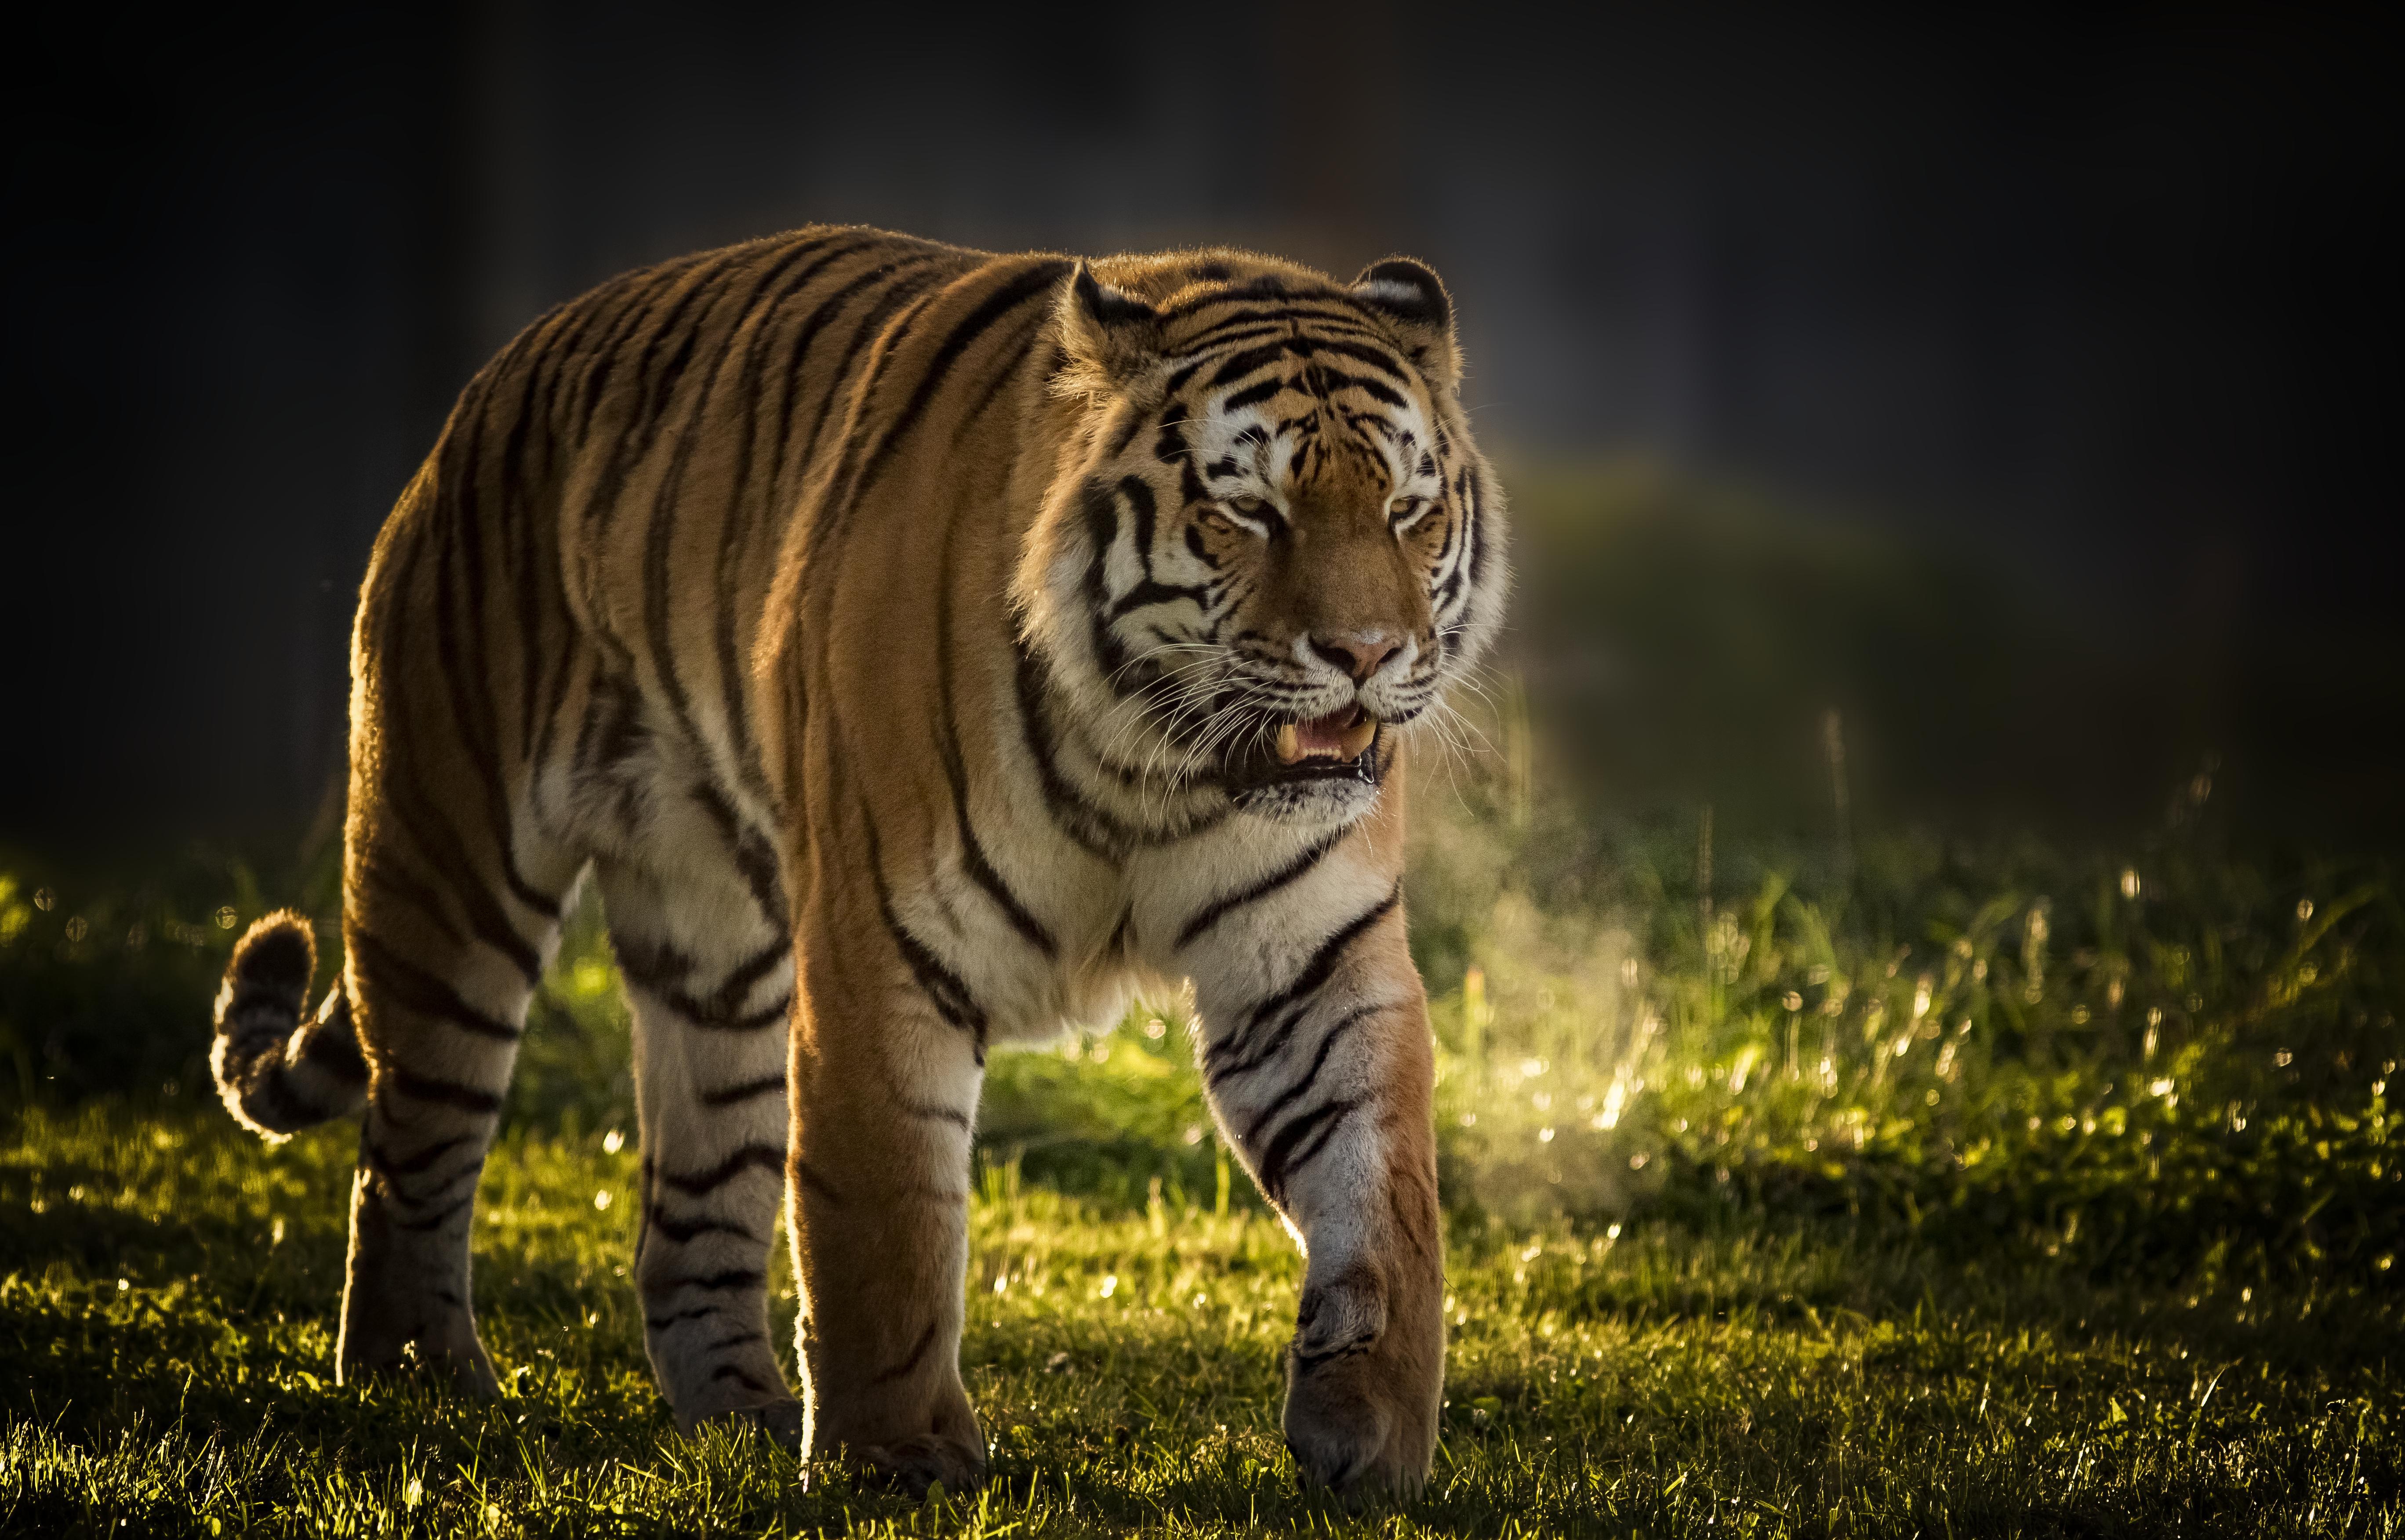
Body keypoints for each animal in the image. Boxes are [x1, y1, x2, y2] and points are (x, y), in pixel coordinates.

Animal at [207, 224, 1507, 1495]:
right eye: (1251, 512)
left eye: (1405, 510)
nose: (1364, 652)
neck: (1156, 764)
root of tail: (494, 382)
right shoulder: (883, 949)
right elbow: (881, 1214)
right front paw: (897, 1456)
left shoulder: (1312, 963)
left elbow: (1383, 1194)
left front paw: (1371, 1437)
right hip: (451, 867)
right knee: (411, 1150)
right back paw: (418, 1375)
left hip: (717, 964)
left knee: (686, 1221)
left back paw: (739, 1417)